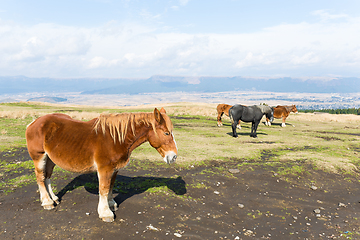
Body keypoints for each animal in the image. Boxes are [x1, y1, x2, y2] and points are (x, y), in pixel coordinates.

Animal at [25, 108, 177, 222]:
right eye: (166, 133)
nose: (174, 156)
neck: (116, 139)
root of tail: (33, 123)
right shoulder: (105, 169)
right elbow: (103, 189)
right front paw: (106, 213)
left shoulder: (115, 169)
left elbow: (110, 187)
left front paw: (111, 204)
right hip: (39, 156)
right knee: (40, 177)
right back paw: (47, 202)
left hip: (50, 159)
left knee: (47, 177)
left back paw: (54, 198)